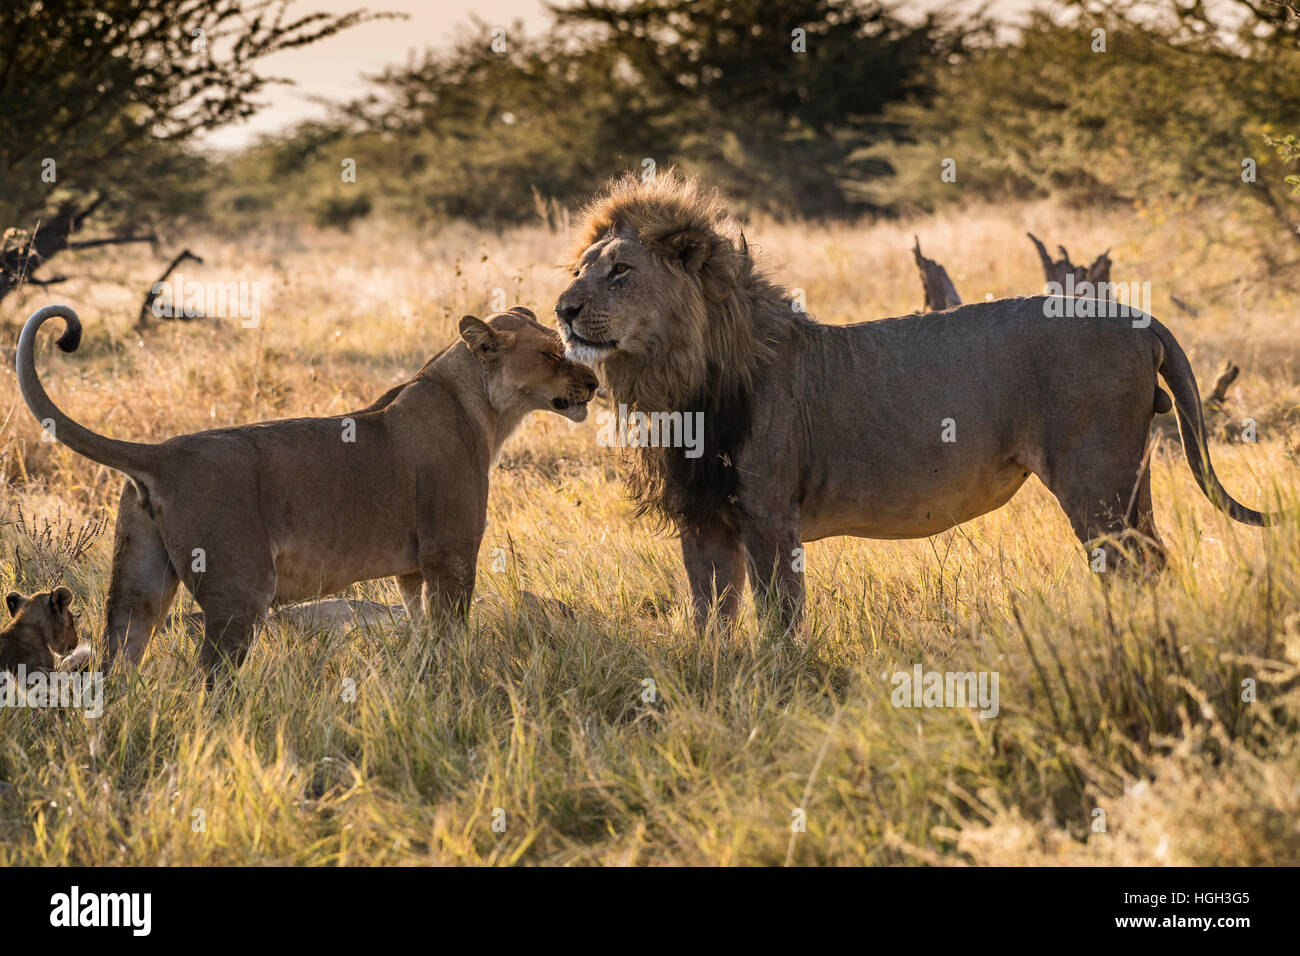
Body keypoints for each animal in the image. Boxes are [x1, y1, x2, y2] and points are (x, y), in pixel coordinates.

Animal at [16, 304, 598, 676]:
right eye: (552, 354)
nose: (594, 384)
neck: (480, 407)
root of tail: (163, 452)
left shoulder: (414, 570)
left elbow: (421, 627)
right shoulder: (450, 554)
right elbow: (451, 632)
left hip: (138, 588)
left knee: (117, 665)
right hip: (240, 591)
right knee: (207, 681)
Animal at [555, 172, 1273, 633]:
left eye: (620, 271)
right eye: (579, 271)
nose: (562, 310)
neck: (673, 381)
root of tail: (1135, 316)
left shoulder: (768, 515)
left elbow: (779, 619)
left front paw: (778, 684)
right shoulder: (702, 520)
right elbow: (711, 619)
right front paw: (716, 683)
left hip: (1095, 475)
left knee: (1131, 564)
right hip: (1130, 476)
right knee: (1150, 557)